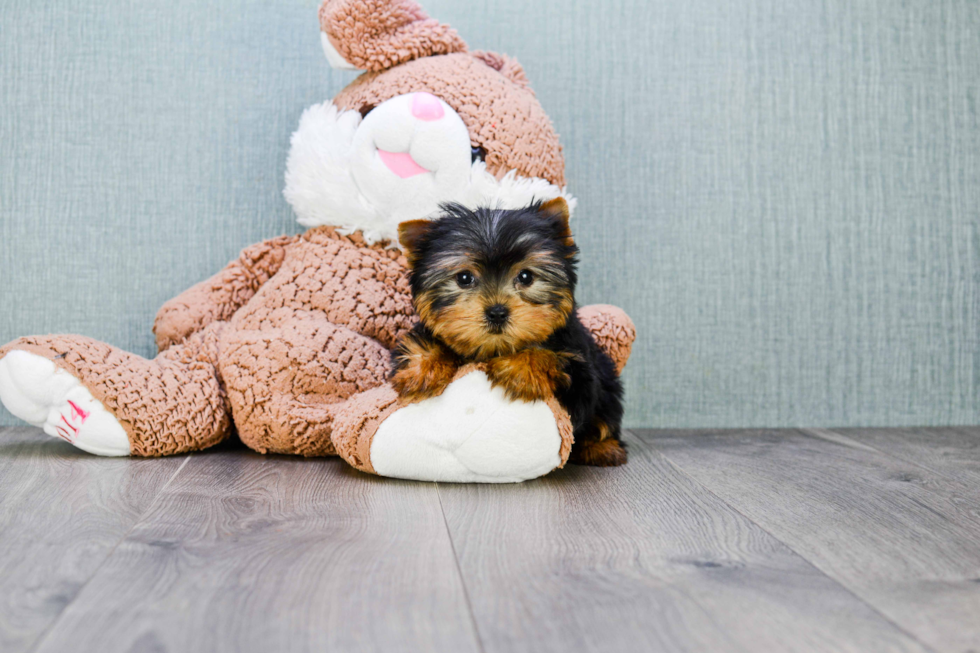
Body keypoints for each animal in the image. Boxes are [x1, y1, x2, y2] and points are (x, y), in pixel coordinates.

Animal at [388, 197, 624, 464]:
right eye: (464, 278)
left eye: (526, 276)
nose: (497, 312)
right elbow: (428, 341)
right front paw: (423, 368)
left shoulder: (581, 370)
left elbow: (554, 357)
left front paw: (521, 368)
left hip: (607, 382)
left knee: (605, 417)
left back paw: (603, 448)